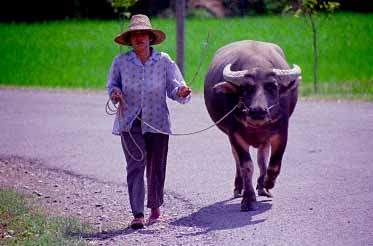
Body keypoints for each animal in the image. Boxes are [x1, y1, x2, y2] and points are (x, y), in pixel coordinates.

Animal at [203, 40, 300, 211]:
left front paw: (268, 183)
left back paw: (262, 186)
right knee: (238, 159)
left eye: (272, 86)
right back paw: (238, 187)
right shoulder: (235, 134)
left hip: (264, 139)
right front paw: (248, 199)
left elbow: (274, 164)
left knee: (262, 157)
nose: (258, 111)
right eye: (247, 88)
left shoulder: (281, 132)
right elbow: (246, 166)